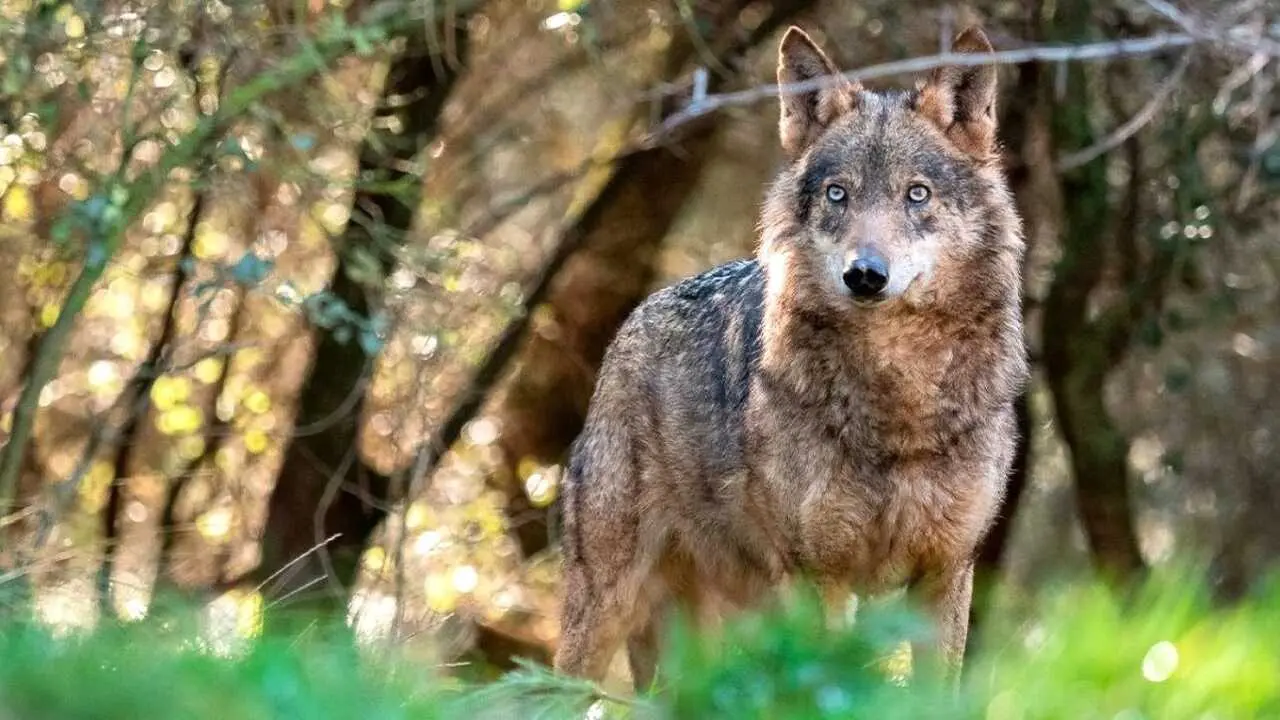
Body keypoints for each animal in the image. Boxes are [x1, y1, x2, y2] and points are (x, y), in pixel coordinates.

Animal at [554, 24, 1027, 689]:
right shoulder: (818, 577)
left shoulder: (946, 573)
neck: (898, 405)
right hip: (608, 605)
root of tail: (636, 317)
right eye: (837, 194)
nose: (865, 275)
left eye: (917, 195)